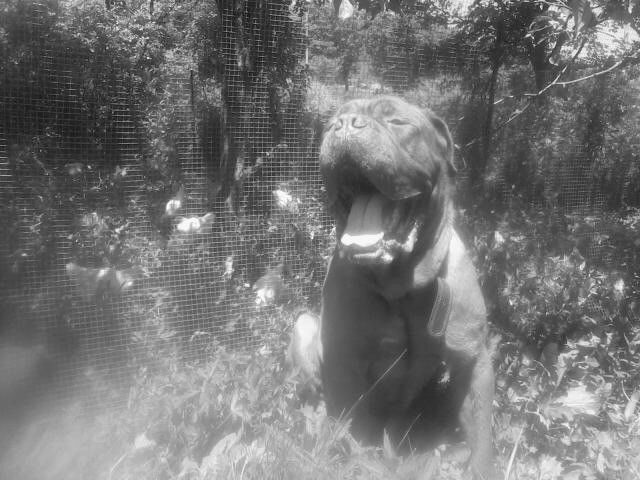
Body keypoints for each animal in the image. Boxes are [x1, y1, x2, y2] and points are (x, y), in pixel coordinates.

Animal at [315, 96, 496, 478]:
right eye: (330, 125)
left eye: (397, 121)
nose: (345, 125)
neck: (399, 288)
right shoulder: (341, 361)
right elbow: (353, 427)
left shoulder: (474, 361)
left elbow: (482, 440)